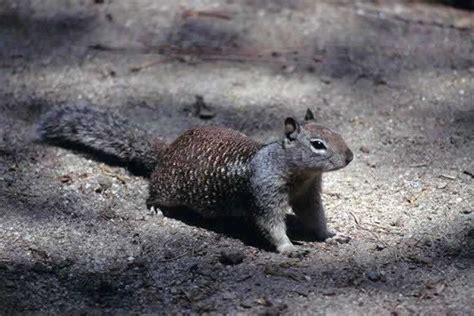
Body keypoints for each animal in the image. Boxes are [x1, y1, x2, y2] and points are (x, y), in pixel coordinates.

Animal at [37, 105, 352, 256]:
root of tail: (167, 150)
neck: (297, 172)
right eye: (317, 144)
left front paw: (330, 235)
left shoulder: (308, 194)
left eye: (337, 132)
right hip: (168, 188)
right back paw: (156, 207)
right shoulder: (265, 191)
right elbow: (270, 224)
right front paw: (288, 248)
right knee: (152, 193)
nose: (349, 157)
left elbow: (314, 216)